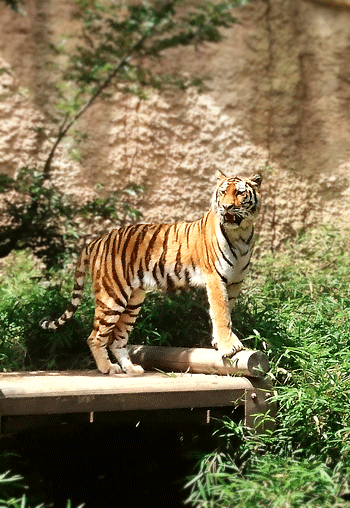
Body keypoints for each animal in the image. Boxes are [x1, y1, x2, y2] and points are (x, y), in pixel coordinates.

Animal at [39, 173, 262, 376]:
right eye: (223, 192)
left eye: (239, 193)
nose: (226, 207)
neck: (241, 234)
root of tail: (96, 241)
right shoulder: (216, 278)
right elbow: (221, 313)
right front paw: (228, 346)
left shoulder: (234, 281)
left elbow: (226, 310)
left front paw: (219, 342)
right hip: (111, 297)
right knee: (95, 337)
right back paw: (107, 368)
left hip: (133, 301)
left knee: (117, 339)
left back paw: (131, 369)